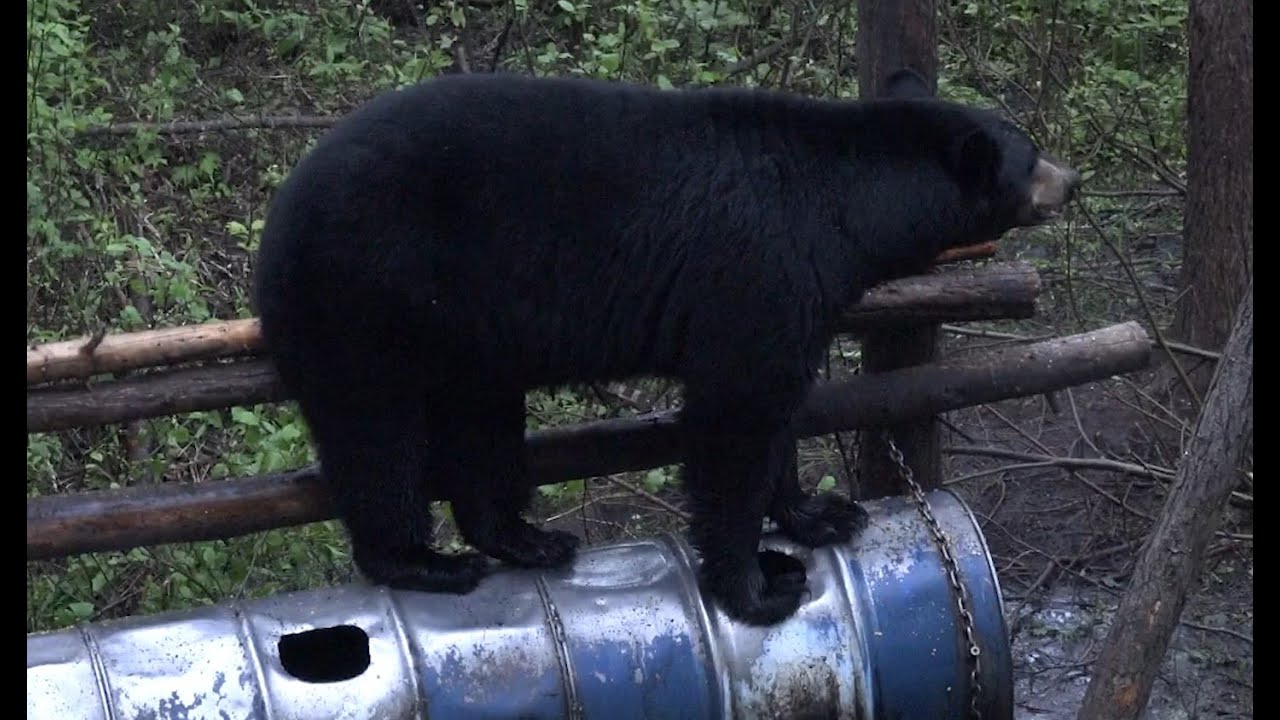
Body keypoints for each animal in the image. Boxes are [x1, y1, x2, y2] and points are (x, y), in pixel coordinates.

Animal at [252, 68, 1079, 626]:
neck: (850, 199)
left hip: (468, 327)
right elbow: (736, 413)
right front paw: (755, 586)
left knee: (482, 420)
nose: (1070, 181)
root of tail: (278, 211)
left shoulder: (799, 291)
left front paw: (820, 514)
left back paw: (527, 539)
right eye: (1031, 155)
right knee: (374, 430)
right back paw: (423, 561)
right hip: (366, 288)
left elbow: (779, 411)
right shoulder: (763, 266)